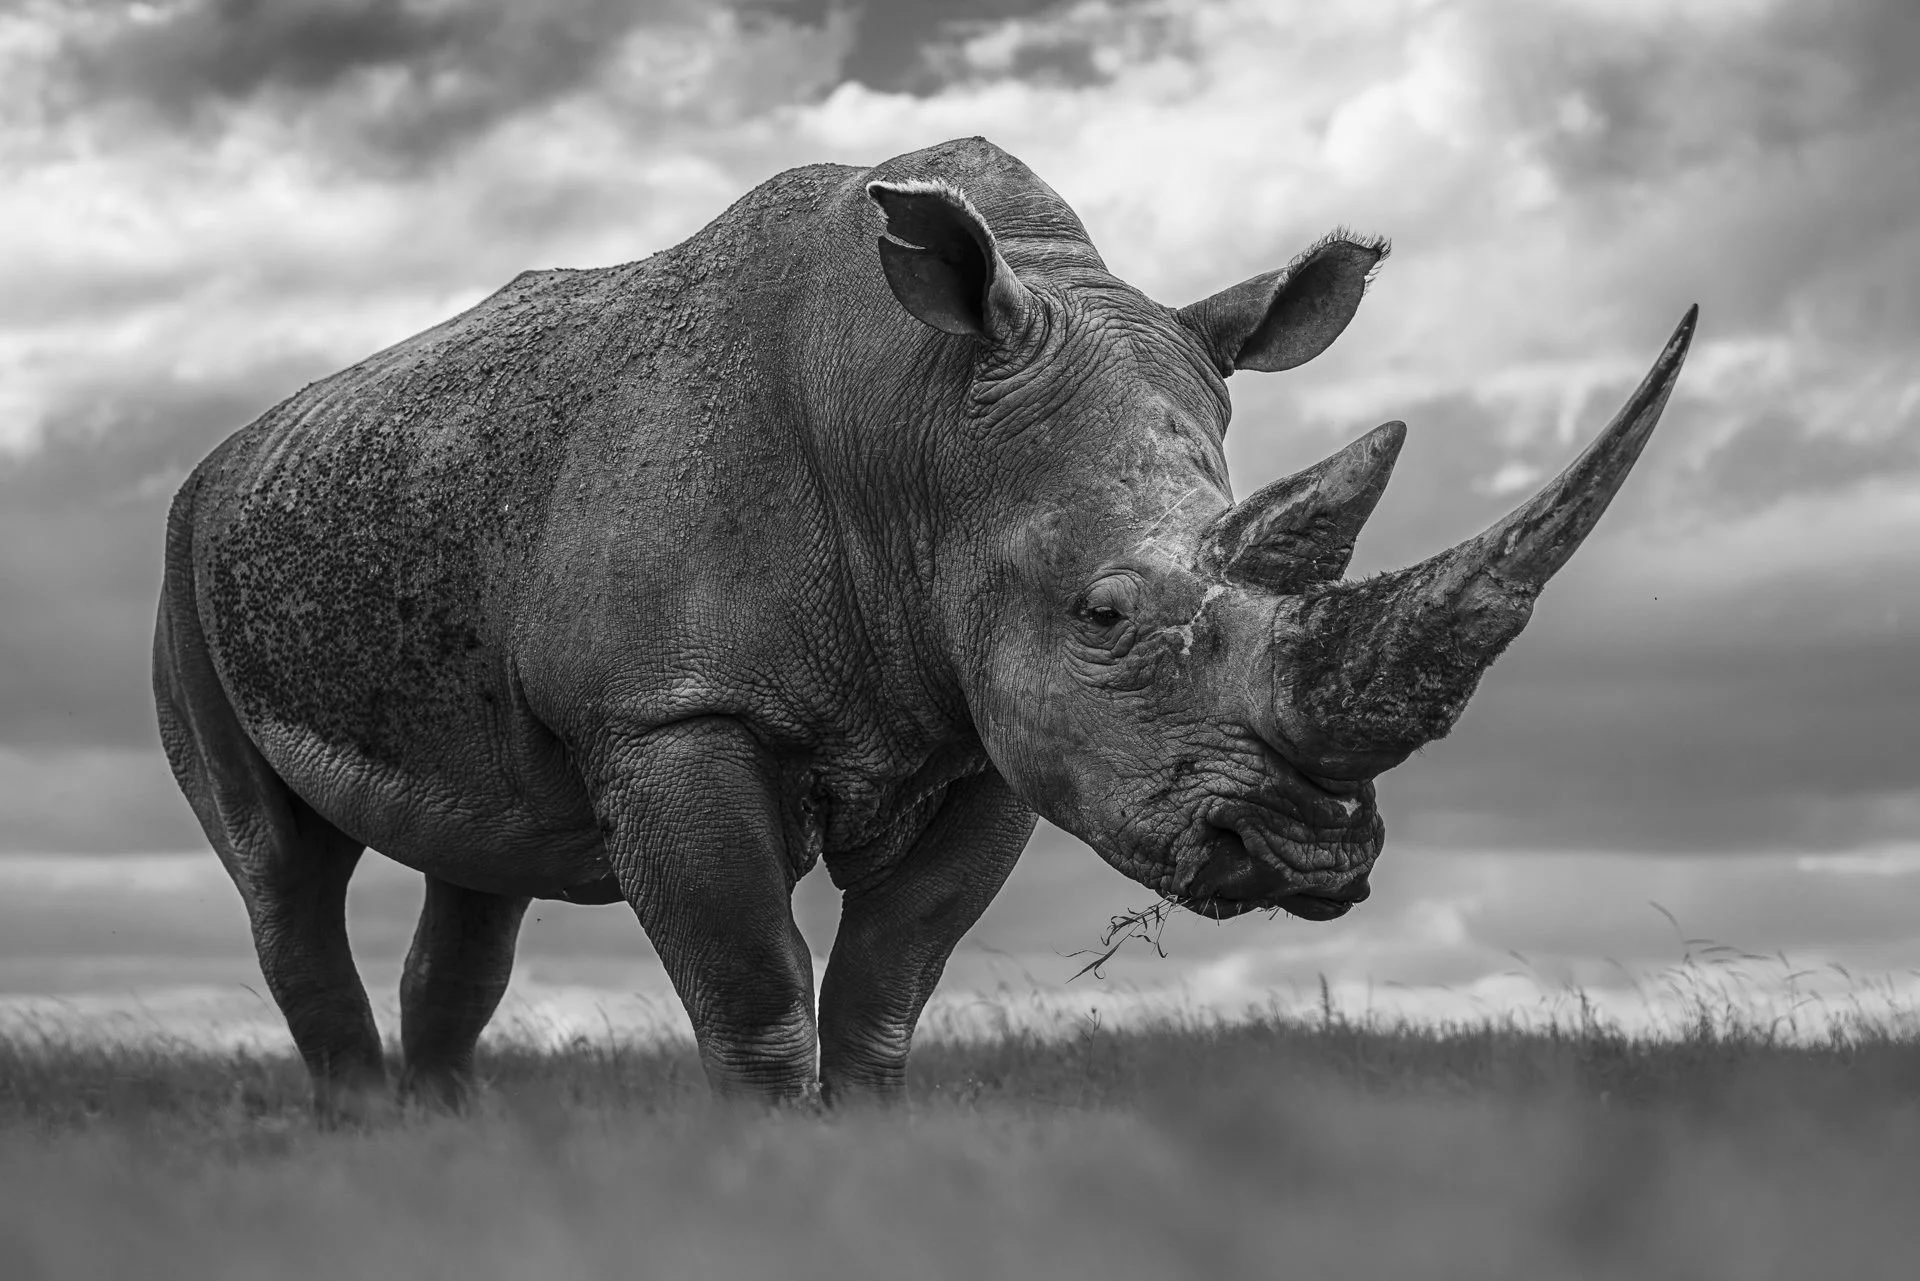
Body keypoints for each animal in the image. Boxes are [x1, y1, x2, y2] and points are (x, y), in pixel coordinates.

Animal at [153, 136, 1693, 1109]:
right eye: (1105, 611)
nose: (1305, 857)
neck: (921, 427)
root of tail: (227, 453)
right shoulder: (671, 709)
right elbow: (755, 988)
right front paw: (767, 1167)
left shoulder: (987, 727)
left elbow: (887, 986)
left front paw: (867, 1149)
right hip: (186, 558)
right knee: (283, 873)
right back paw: (367, 1134)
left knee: (480, 874)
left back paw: (442, 1147)